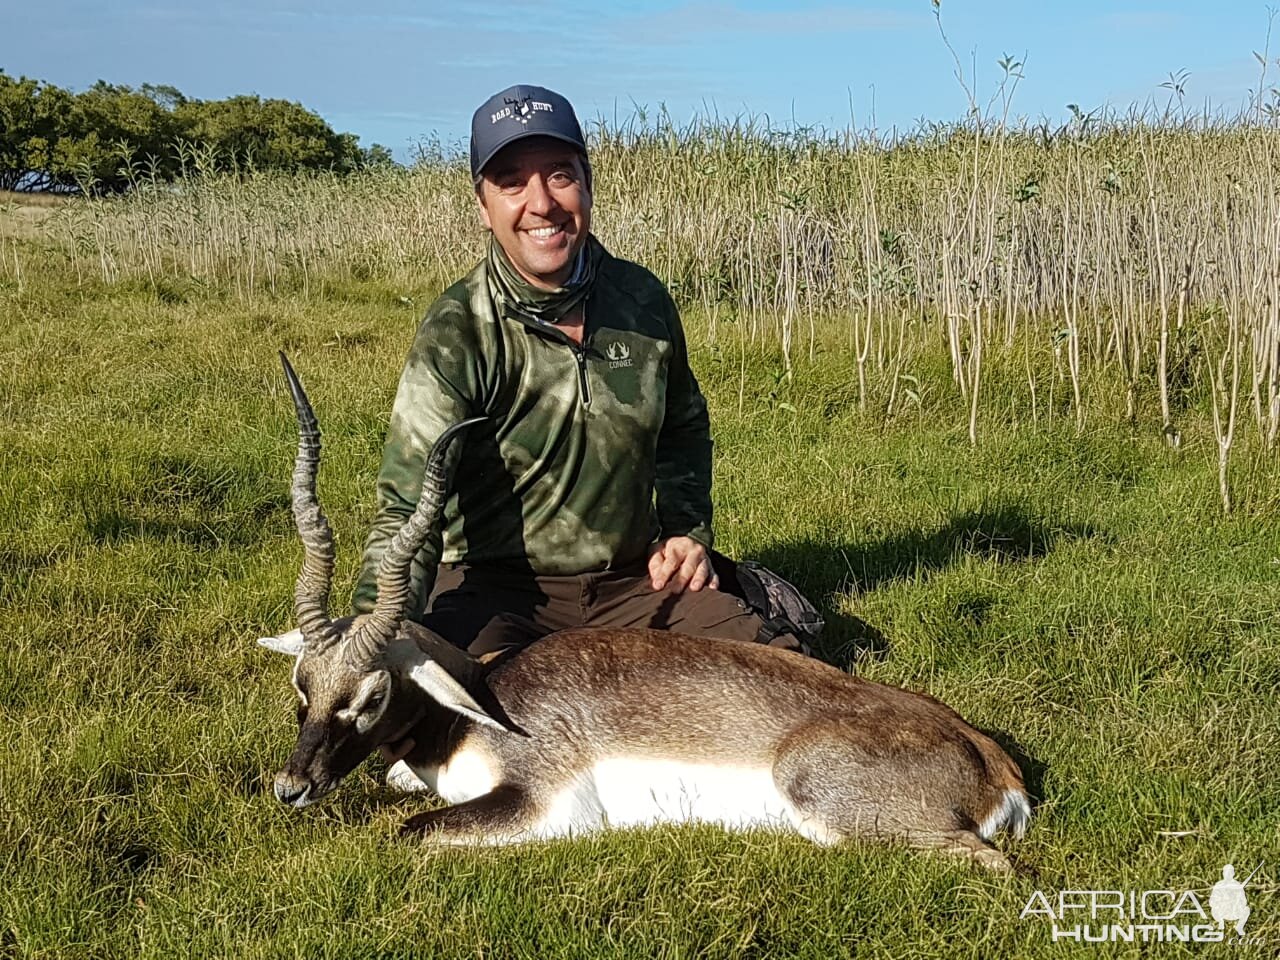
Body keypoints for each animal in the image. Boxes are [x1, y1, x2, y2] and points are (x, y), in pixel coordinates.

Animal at [259, 358, 1029, 870]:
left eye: (371, 695)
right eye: (302, 686)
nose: (290, 789)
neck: (471, 709)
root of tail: (991, 759)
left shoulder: (543, 802)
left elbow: (408, 832)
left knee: (991, 864)